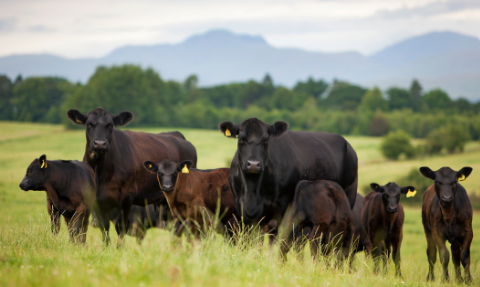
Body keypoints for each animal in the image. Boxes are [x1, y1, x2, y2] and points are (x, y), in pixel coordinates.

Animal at [66, 108, 197, 245]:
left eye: (110, 125)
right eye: (89, 124)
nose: (100, 143)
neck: (101, 171)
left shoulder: (126, 196)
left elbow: (121, 226)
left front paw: (120, 248)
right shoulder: (97, 200)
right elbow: (104, 227)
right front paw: (107, 247)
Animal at [218, 118, 356, 228]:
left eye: (266, 140)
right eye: (241, 139)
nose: (253, 164)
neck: (252, 191)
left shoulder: (283, 205)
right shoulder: (241, 206)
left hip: (348, 197)